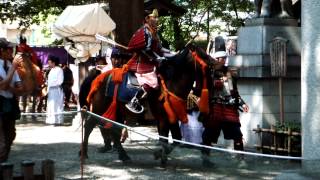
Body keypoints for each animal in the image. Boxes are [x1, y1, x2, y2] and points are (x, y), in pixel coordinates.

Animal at [78, 44, 214, 166]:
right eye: (205, 59)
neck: (173, 82)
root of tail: (98, 77)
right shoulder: (164, 118)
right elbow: (167, 139)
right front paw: (160, 155)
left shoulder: (170, 117)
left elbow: (174, 139)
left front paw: (162, 156)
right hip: (99, 109)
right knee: (89, 125)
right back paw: (84, 153)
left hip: (117, 111)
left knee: (114, 130)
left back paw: (123, 155)